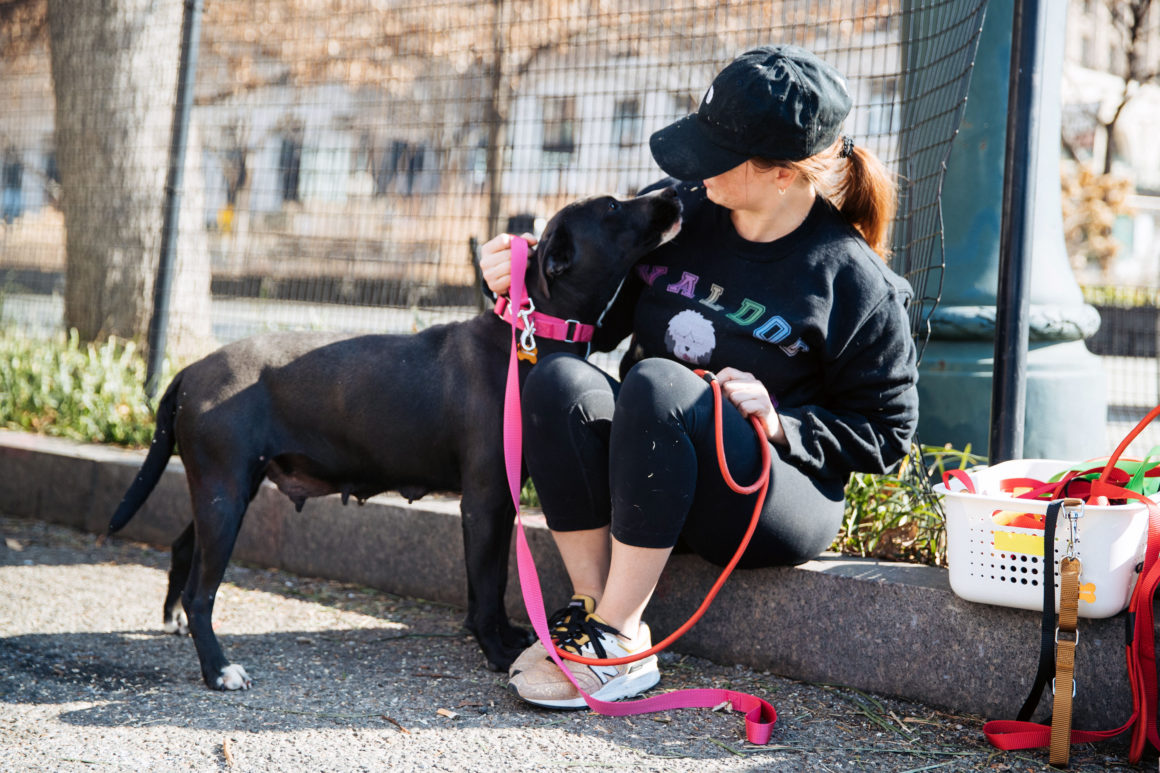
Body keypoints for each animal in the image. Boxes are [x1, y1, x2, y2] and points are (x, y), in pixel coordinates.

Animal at [106, 185, 677, 687]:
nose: (674, 191)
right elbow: (486, 586)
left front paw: (507, 638)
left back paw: (175, 621)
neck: (531, 334)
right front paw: (494, 650)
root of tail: (192, 369)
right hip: (224, 496)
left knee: (184, 548)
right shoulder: (485, 501)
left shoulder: (503, 502)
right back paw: (218, 668)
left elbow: (495, 581)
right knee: (203, 593)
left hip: (225, 491)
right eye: (611, 206)